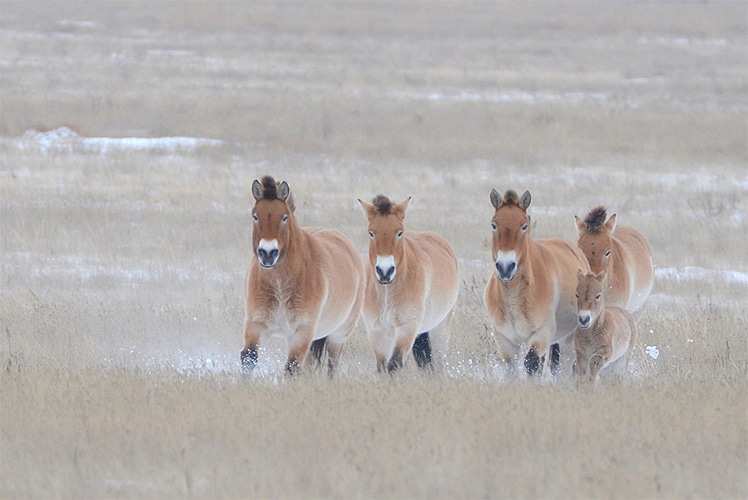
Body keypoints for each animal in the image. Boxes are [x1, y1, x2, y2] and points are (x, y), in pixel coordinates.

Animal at [241, 176, 364, 376]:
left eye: (284, 217)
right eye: (255, 216)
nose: (268, 253)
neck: (281, 286)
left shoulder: (302, 331)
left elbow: (291, 367)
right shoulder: (256, 323)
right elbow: (248, 357)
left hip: (338, 334)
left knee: (331, 365)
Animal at [358, 195, 459, 373]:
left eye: (399, 232)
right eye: (371, 233)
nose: (385, 272)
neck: (387, 293)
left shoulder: (407, 326)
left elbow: (394, 364)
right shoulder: (377, 330)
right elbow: (382, 367)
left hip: (440, 327)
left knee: (439, 363)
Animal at [483, 189, 591, 377]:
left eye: (524, 226)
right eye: (494, 225)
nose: (505, 267)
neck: (514, 296)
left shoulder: (541, 332)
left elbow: (532, 363)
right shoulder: (505, 338)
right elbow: (512, 367)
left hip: (568, 338)